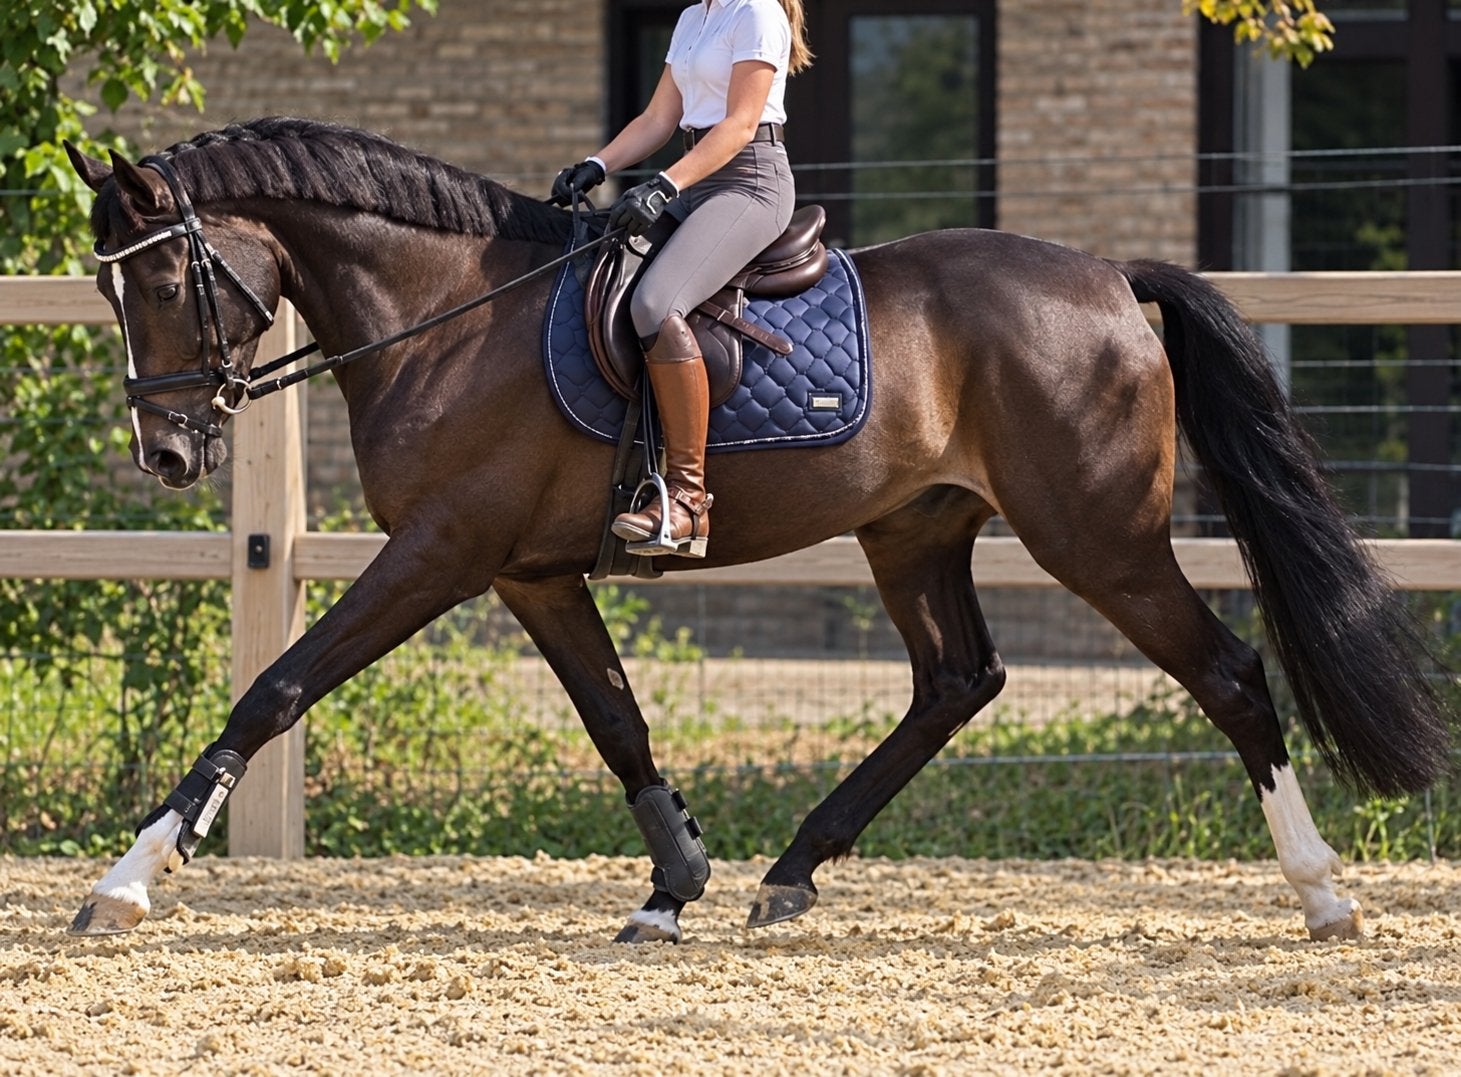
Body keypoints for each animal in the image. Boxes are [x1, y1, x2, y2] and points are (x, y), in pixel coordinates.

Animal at [62, 117, 1451, 944]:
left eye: (166, 279)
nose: (168, 453)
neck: (449, 316)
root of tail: (1111, 279)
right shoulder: (530, 574)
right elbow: (618, 722)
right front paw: (674, 887)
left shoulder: (441, 557)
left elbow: (276, 688)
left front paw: (127, 879)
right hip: (913, 530)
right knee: (957, 680)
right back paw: (794, 869)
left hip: (1096, 536)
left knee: (1230, 674)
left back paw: (1323, 892)